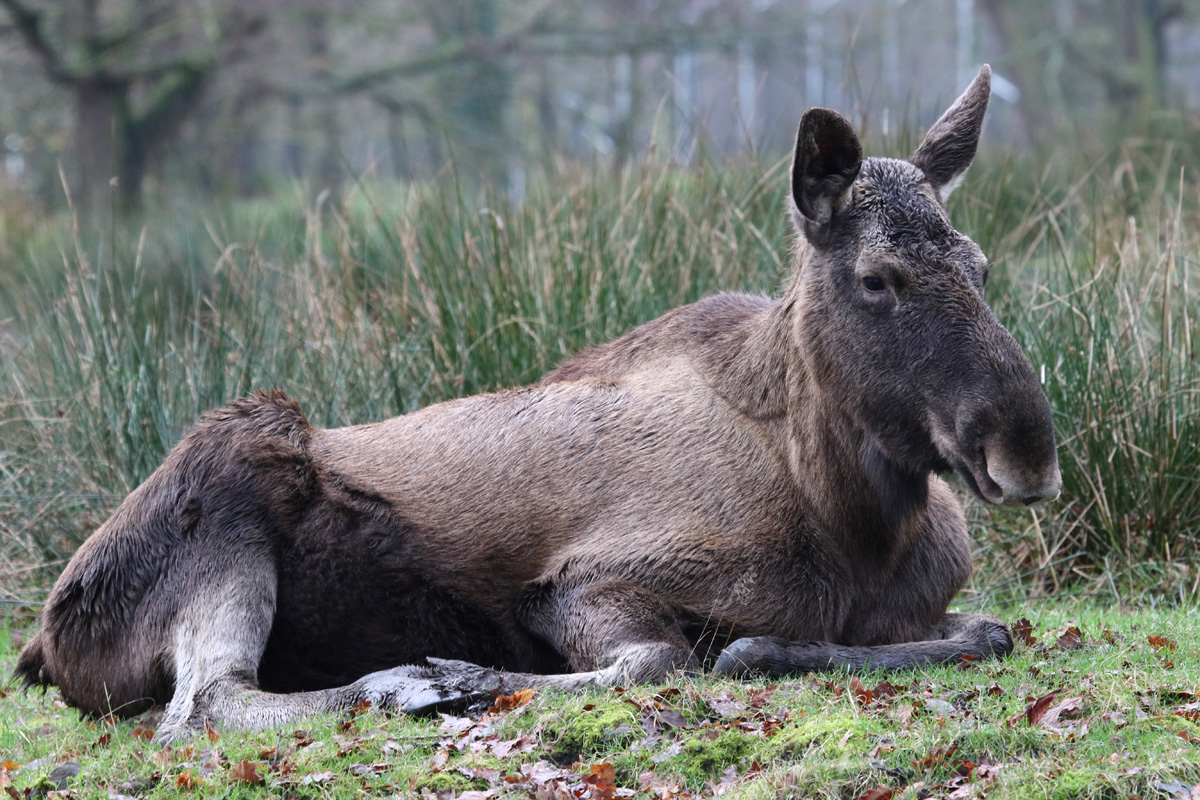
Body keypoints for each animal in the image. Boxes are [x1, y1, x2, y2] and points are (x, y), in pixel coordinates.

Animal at [16, 66, 1061, 744]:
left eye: (978, 265)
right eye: (879, 279)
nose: (1028, 451)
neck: (855, 523)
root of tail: (42, 632)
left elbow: (988, 630)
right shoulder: (580, 580)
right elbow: (672, 660)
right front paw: (463, 673)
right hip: (236, 458)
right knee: (200, 705)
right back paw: (404, 683)